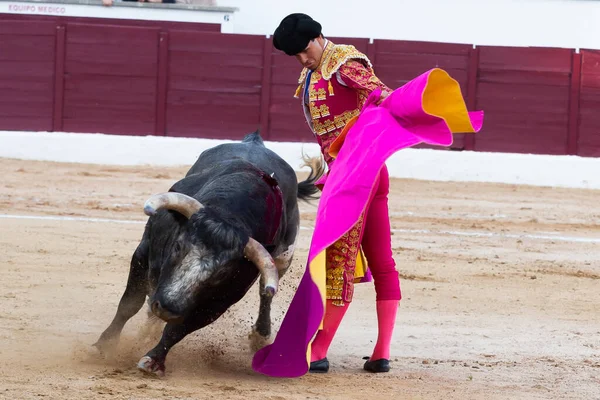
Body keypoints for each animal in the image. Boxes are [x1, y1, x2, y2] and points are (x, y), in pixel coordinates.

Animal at [94, 131, 326, 376]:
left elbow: (179, 329)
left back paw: (260, 336)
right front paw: (105, 345)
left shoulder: (220, 301)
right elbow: (130, 303)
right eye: (178, 246)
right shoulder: (143, 253)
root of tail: (255, 140)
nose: (167, 308)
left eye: (222, 273)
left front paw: (154, 360)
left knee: (266, 292)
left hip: (282, 259)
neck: (229, 212)